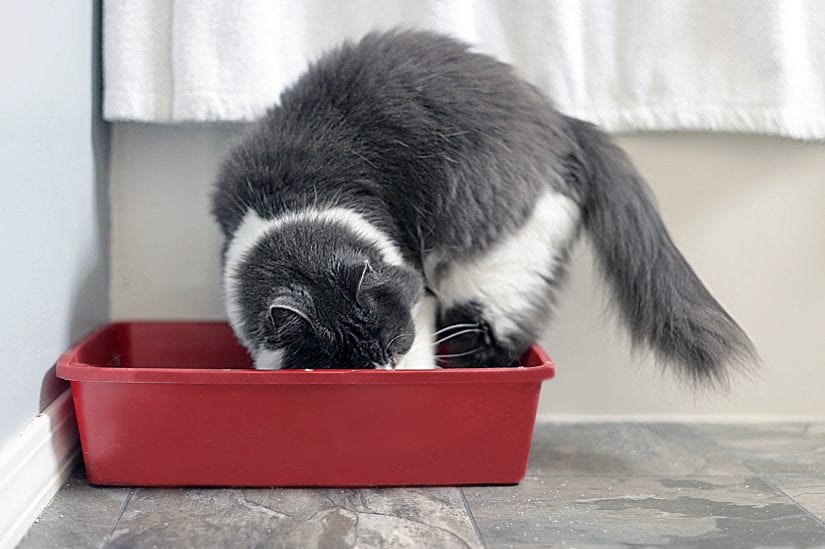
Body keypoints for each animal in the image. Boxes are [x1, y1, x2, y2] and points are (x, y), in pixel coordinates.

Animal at [209, 27, 756, 384]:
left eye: (388, 343)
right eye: (348, 362)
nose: (385, 368)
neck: (297, 198)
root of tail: (561, 122)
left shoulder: (418, 287)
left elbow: (423, 343)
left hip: (493, 262)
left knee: (505, 338)